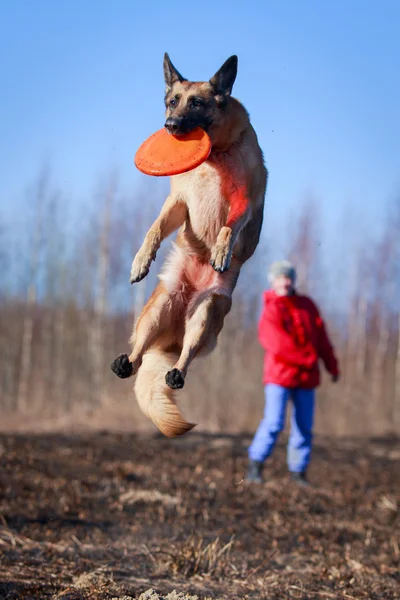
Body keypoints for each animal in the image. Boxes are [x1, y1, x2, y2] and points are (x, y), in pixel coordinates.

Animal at [111, 54, 268, 438]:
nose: (170, 126)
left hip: (206, 310)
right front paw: (140, 261)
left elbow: (228, 228)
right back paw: (126, 362)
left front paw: (221, 252)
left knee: (186, 357)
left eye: (196, 103)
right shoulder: (178, 203)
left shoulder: (244, 203)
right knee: (139, 352)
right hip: (159, 306)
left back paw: (176, 373)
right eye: (172, 101)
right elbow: (154, 228)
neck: (214, 159)